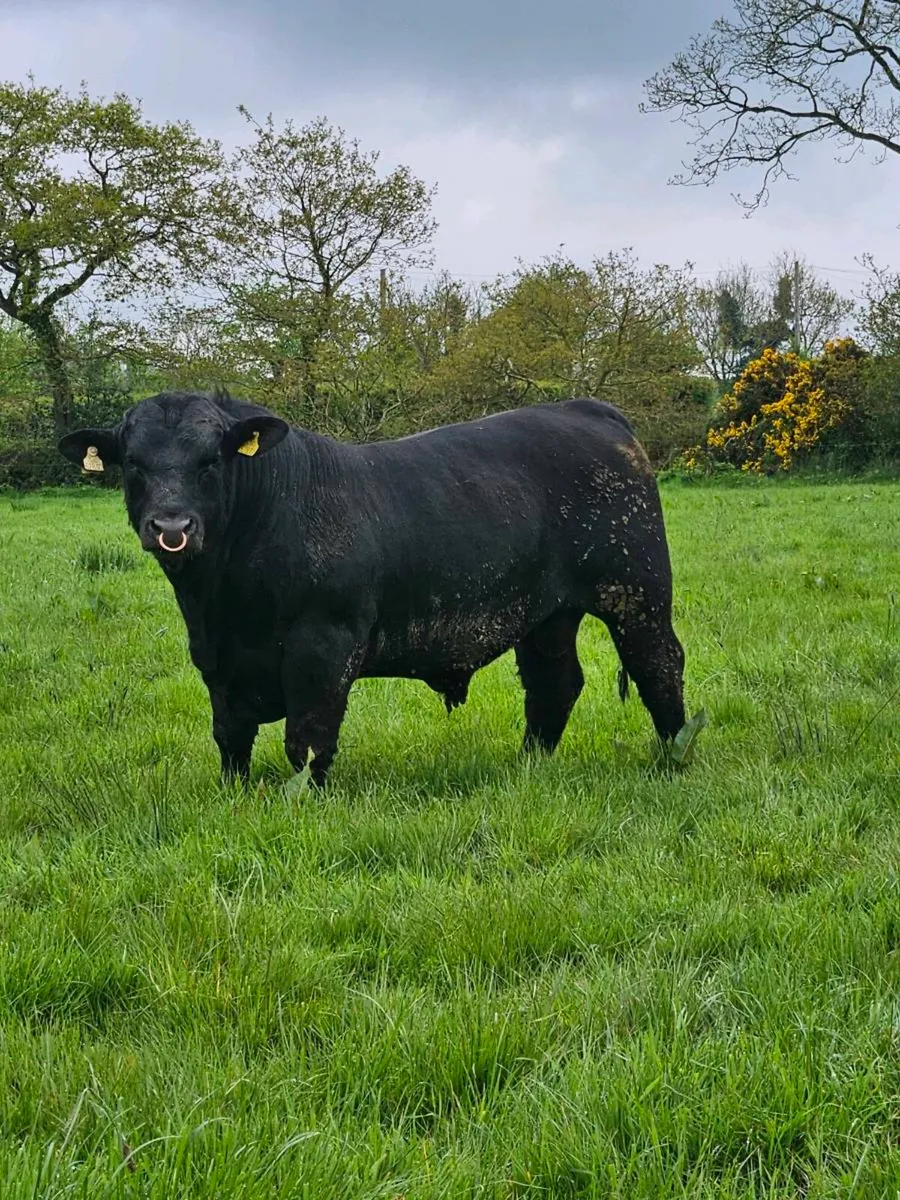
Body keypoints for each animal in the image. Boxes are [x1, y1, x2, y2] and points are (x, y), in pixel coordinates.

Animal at [58, 391, 686, 786]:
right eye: (132, 463)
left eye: (211, 460)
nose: (172, 527)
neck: (224, 600)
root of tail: (590, 411)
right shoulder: (217, 660)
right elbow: (230, 737)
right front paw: (232, 796)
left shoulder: (324, 645)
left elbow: (308, 739)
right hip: (547, 613)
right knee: (553, 683)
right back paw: (529, 766)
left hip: (638, 590)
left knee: (658, 665)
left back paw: (675, 758)